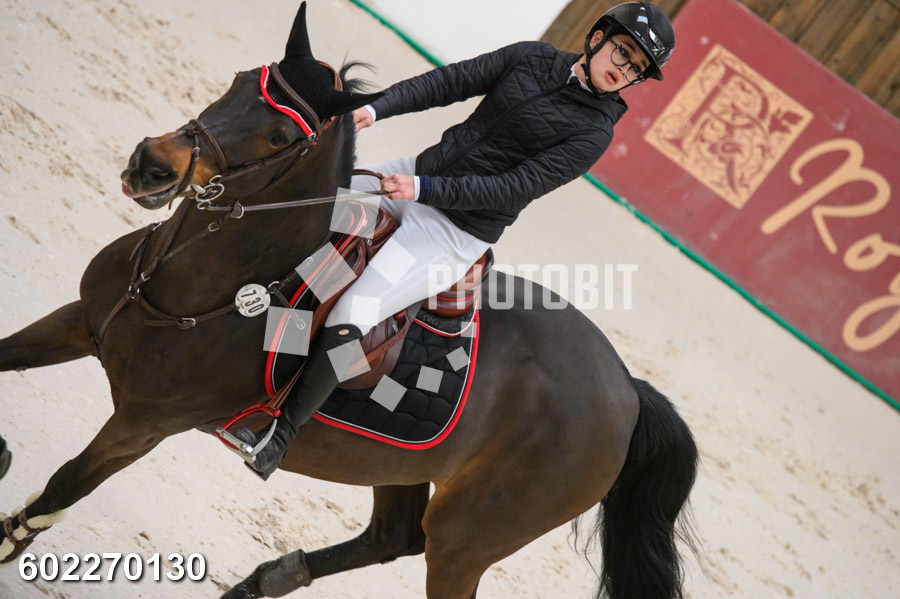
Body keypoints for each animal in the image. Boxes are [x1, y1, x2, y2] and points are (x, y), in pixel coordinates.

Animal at [0, 3, 699, 598]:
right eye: (237, 81)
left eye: (280, 137)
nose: (151, 166)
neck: (196, 277)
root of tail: (627, 390)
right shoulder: (74, 323)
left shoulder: (145, 424)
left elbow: (61, 489)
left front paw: (12, 540)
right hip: (398, 462)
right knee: (392, 537)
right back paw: (264, 581)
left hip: (468, 538)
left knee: (426, 548)